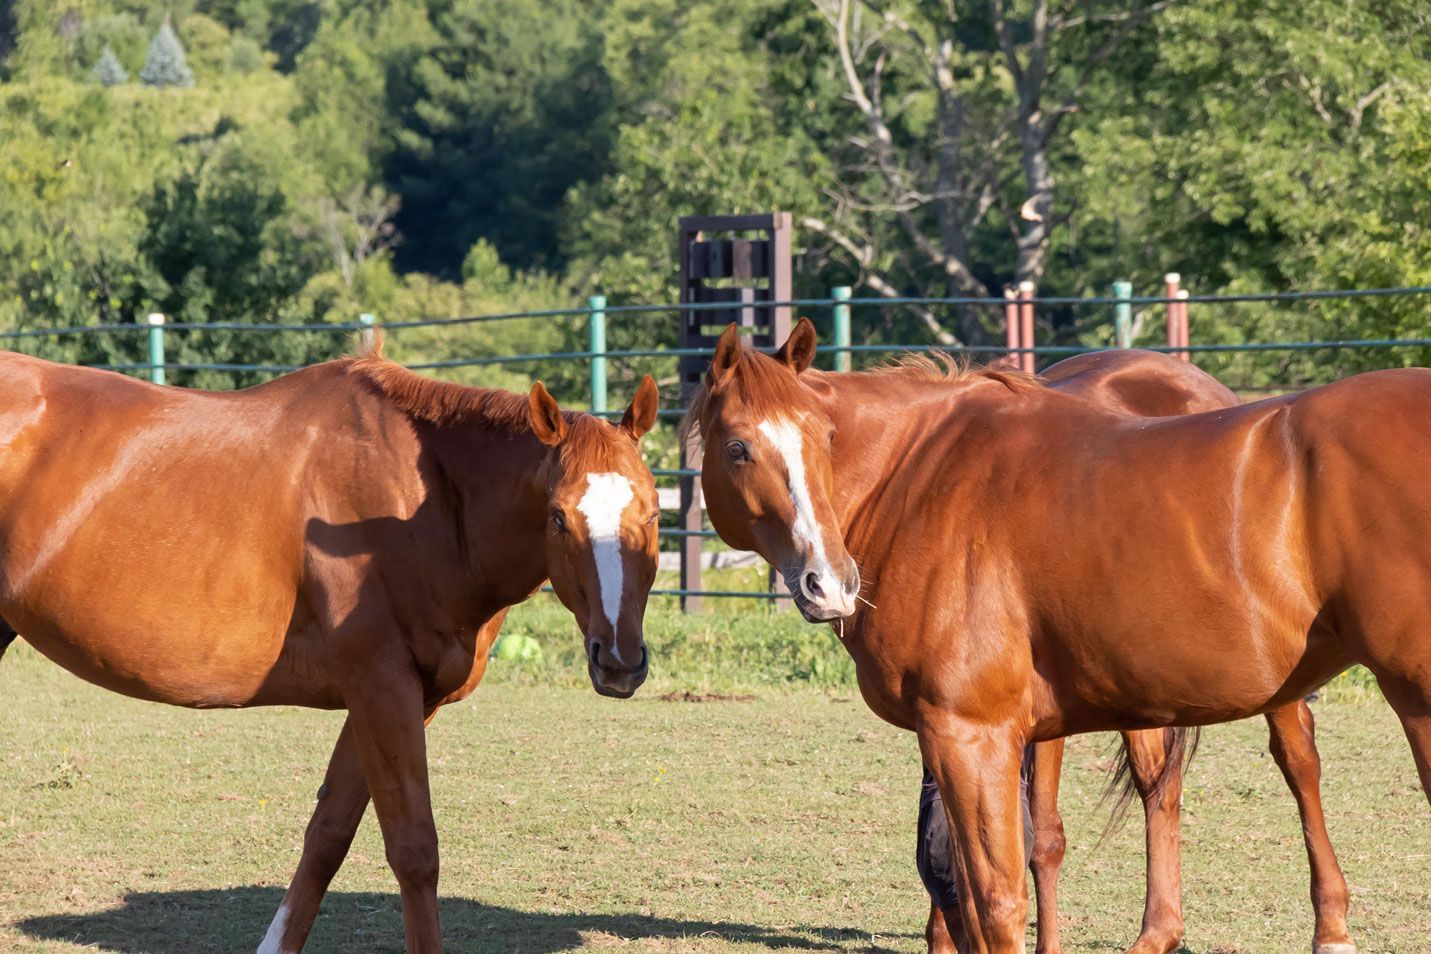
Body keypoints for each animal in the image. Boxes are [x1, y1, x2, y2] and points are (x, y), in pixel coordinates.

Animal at [0, 339, 661, 954]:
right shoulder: (380, 687)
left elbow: (328, 835)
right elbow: (413, 849)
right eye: (559, 517)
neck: (416, 502)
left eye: (653, 513)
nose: (619, 660)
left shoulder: (398, 698)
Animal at [685, 320, 1430, 954]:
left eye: (823, 439)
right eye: (739, 447)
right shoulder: (976, 736)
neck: (919, 482)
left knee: (1292, 765)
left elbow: (995, 901)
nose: (830, 582)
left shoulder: (971, 734)